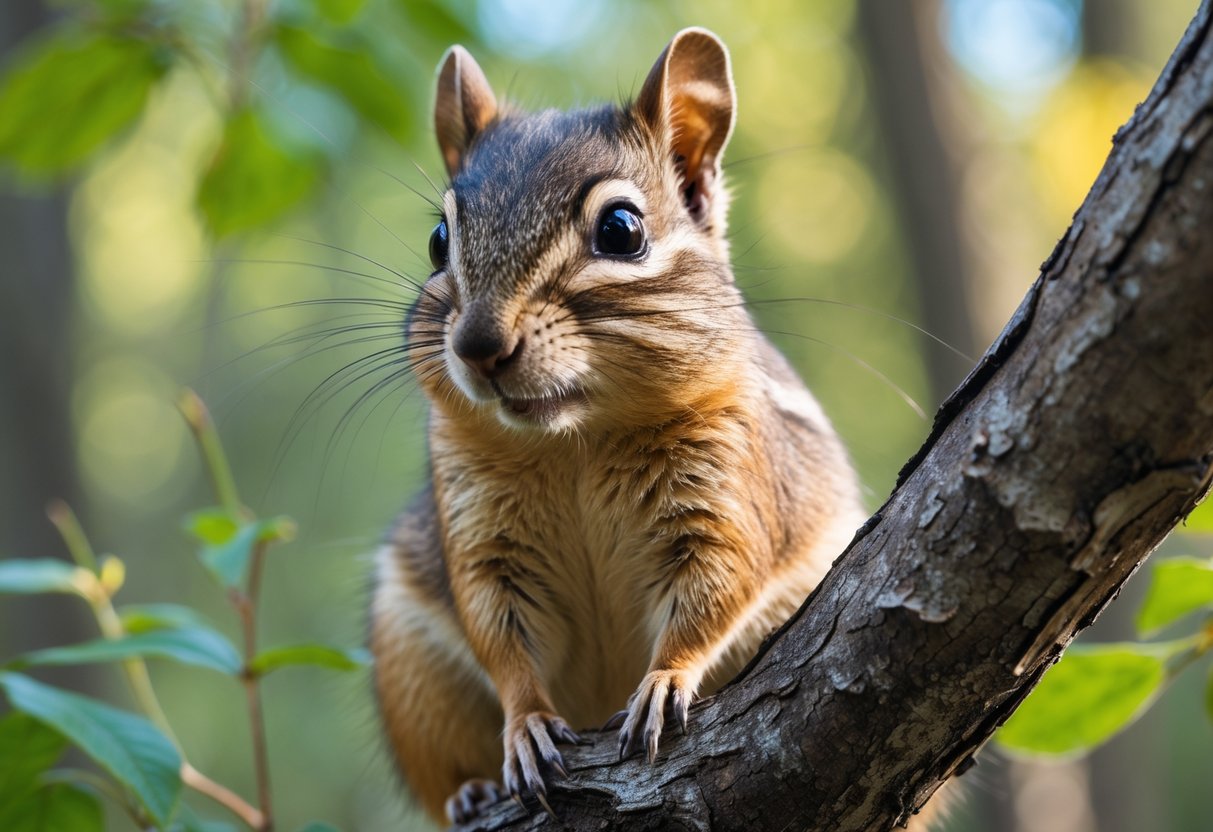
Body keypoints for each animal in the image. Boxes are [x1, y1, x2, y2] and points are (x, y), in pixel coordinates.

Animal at [369, 28, 898, 827]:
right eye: (437, 241)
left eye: (621, 230)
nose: (479, 346)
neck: (576, 443)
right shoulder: (480, 526)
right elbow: (499, 635)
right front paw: (524, 726)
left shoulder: (725, 488)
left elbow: (716, 587)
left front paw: (664, 682)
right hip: (411, 667)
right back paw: (470, 791)